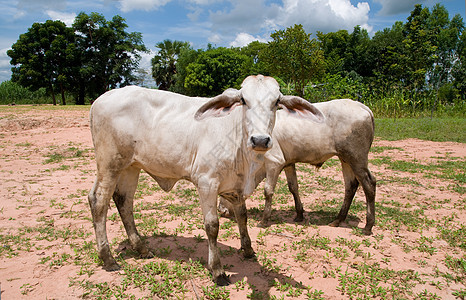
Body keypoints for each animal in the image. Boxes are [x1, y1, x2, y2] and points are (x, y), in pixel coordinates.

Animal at [87, 74, 322, 284]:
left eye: (276, 102)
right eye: (244, 100)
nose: (260, 140)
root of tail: (100, 99)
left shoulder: (235, 187)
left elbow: (242, 216)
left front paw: (247, 249)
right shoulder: (206, 183)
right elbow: (212, 226)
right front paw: (217, 270)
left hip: (131, 167)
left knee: (123, 201)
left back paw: (141, 248)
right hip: (109, 164)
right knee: (98, 200)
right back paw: (108, 258)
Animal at [220, 99, 376, 236]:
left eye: (228, 193)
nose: (221, 211)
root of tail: (361, 106)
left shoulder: (274, 163)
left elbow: (268, 191)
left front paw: (264, 220)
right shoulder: (288, 163)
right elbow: (293, 187)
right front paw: (299, 214)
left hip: (357, 159)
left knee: (369, 184)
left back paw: (368, 226)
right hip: (345, 159)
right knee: (350, 186)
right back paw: (338, 219)